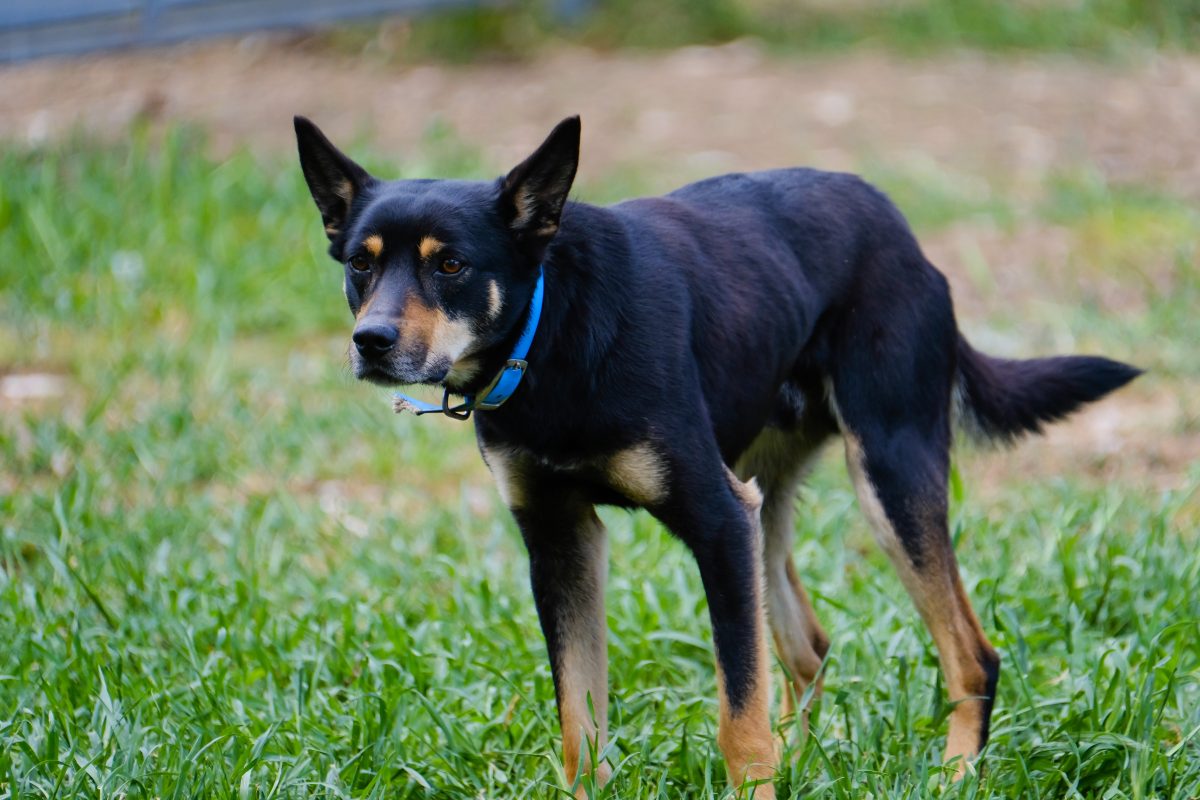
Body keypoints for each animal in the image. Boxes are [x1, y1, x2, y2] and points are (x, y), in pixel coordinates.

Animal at [295, 115, 1137, 796]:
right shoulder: (564, 542)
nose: (370, 341)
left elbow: (739, 718)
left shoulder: (716, 520)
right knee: (808, 651)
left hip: (887, 474)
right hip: (765, 503)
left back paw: (955, 774)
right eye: (361, 264)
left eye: (451, 265)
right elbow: (579, 722)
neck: (553, 328)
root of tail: (898, 226)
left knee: (971, 656)